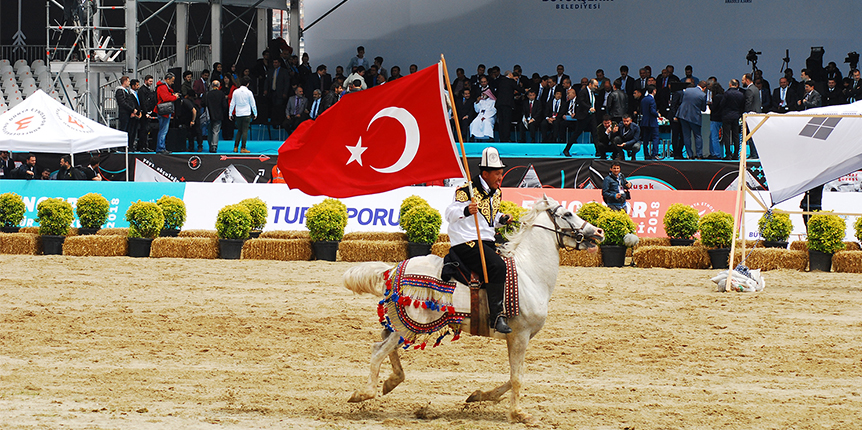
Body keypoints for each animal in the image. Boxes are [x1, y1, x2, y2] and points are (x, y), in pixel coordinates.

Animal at [340, 196, 604, 424]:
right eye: (567, 213)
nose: (599, 232)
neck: (528, 273)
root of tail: (395, 268)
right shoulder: (519, 336)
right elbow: (517, 378)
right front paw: (518, 414)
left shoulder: (519, 338)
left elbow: (511, 376)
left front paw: (479, 396)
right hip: (411, 323)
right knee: (378, 351)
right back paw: (363, 394)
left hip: (404, 325)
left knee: (384, 345)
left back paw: (390, 382)